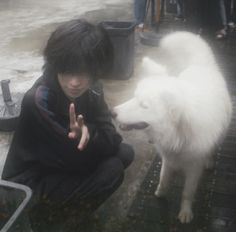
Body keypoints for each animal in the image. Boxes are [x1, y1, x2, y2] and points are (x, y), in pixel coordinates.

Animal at [113, 31, 232, 224]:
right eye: (134, 96)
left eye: (144, 105)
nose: (112, 112)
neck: (178, 134)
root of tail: (201, 65)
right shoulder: (168, 158)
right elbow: (163, 178)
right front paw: (160, 193)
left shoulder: (194, 168)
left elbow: (187, 193)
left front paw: (185, 212)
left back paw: (210, 160)